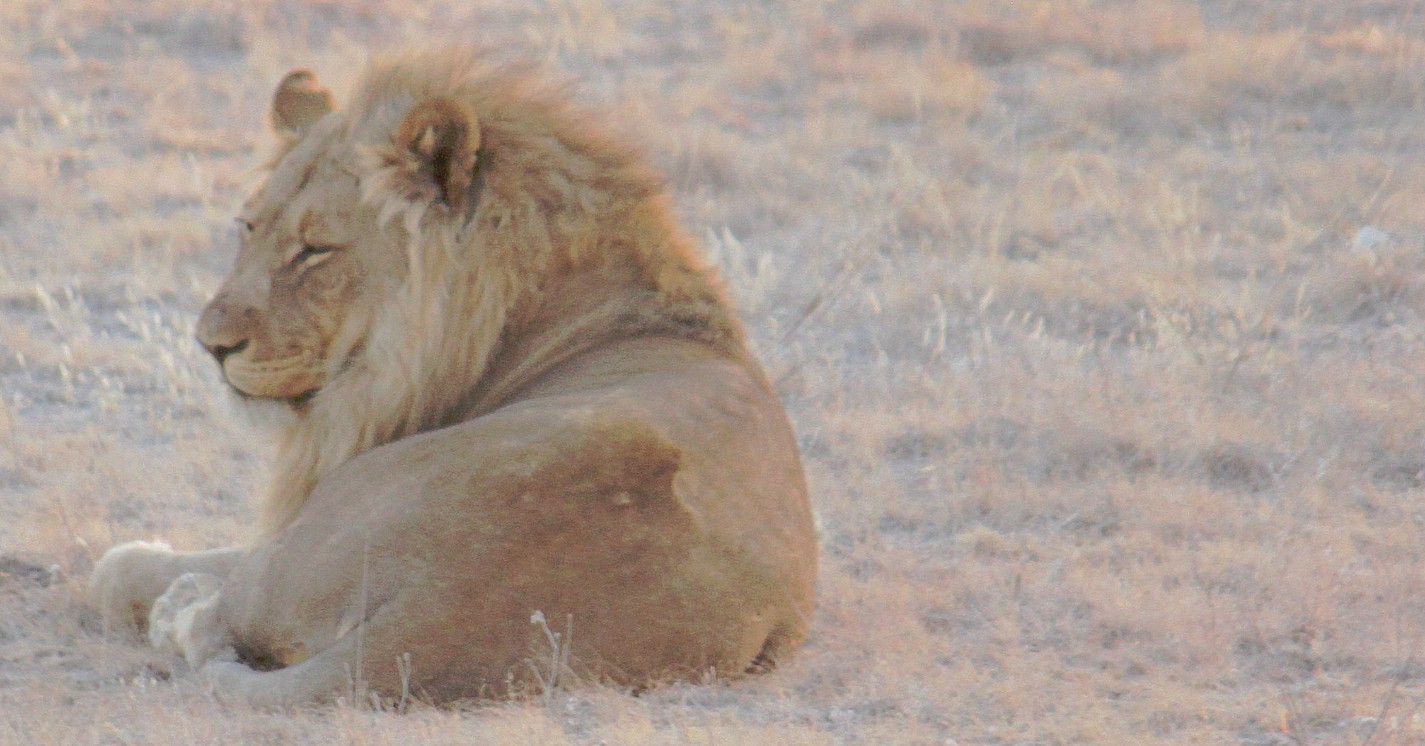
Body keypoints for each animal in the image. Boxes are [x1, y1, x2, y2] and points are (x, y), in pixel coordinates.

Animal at [89, 48, 820, 706]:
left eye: (315, 250)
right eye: (248, 227)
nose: (210, 345)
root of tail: (426, 624)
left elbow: (138, 565)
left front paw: (141, 566)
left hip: (314, 531)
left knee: (218, 606)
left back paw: (179, 604)